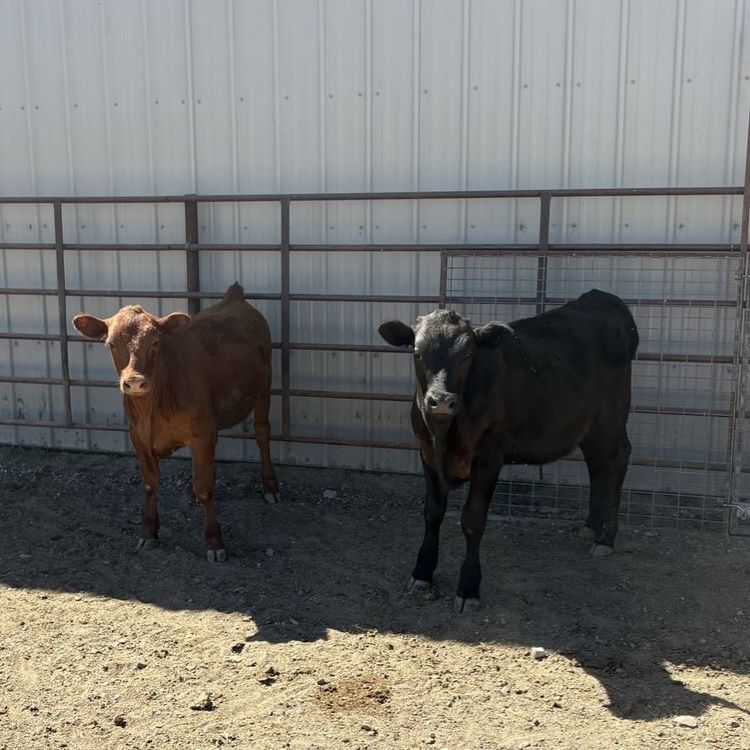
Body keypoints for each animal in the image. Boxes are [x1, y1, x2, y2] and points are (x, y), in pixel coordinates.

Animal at [72, 282, 279, 561]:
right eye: (111, 344)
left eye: (155, 342)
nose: (134, 382)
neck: (154, 407)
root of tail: (234, 298)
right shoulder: (138, 436)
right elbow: (150, 483)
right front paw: (149, 532)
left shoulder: (203, 433)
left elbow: (204, 487)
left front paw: (214, 541)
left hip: (264, 390)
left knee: (262, 433)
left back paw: (270, 487)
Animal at [378, 289, 638, 612]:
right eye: (417, 352)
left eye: (468, 355)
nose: (441, 401)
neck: (445, 434)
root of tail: (601, 297)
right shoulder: (426, 452)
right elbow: (432, 512)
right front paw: (422, 572)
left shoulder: (489, 457)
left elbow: (472, 520)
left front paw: (469, 587)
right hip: (587, 424)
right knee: (598, 464)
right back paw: (591, 526)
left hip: (611, 416)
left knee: (616, 459)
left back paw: (606, 537)